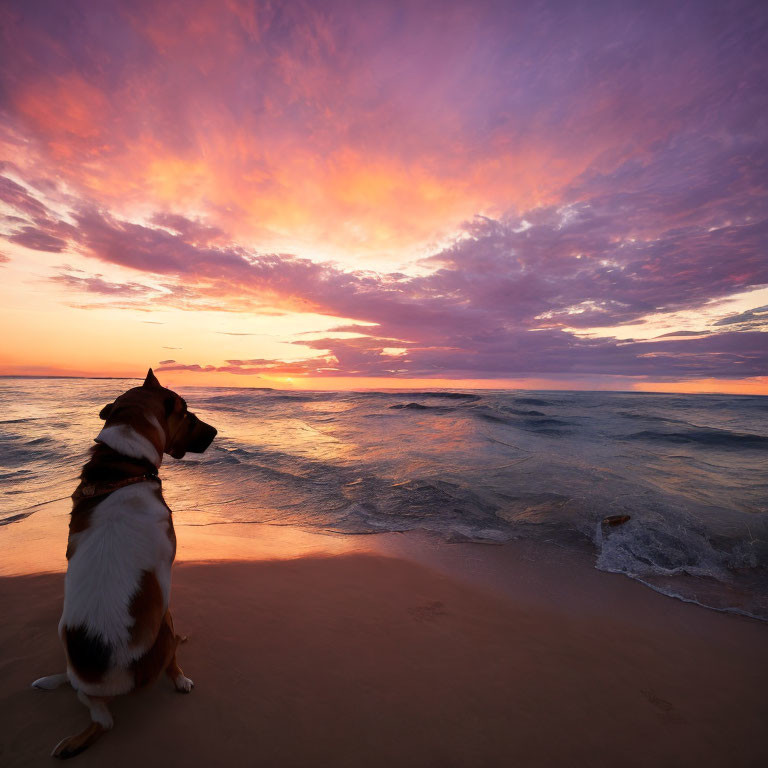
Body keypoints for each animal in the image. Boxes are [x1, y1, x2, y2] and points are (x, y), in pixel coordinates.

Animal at [30, 368, 216, 760]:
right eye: (187, 414)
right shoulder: (166, 587)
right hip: (161, 632)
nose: (216, 433)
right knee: (109, 721)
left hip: (71, 657)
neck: (122, 465)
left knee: (89, 703)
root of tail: (102, 679)